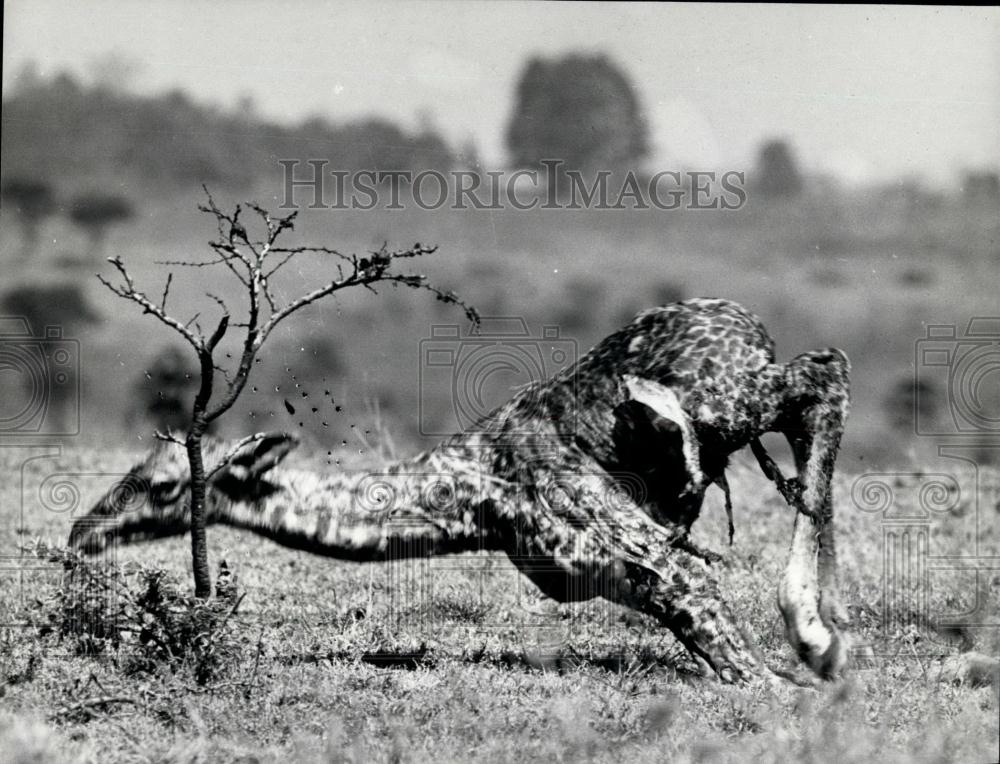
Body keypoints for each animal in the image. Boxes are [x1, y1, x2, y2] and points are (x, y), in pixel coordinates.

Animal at [70, 296, 852, 680]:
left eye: (161, 485)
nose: (82, 531)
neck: (474, 499)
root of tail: (745, 320)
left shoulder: (640, 551)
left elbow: (733, 648)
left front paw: (798, 679)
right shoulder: (612, 575)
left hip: (732, 398)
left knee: (825, 371)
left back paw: (815, 632)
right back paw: (823, 625)